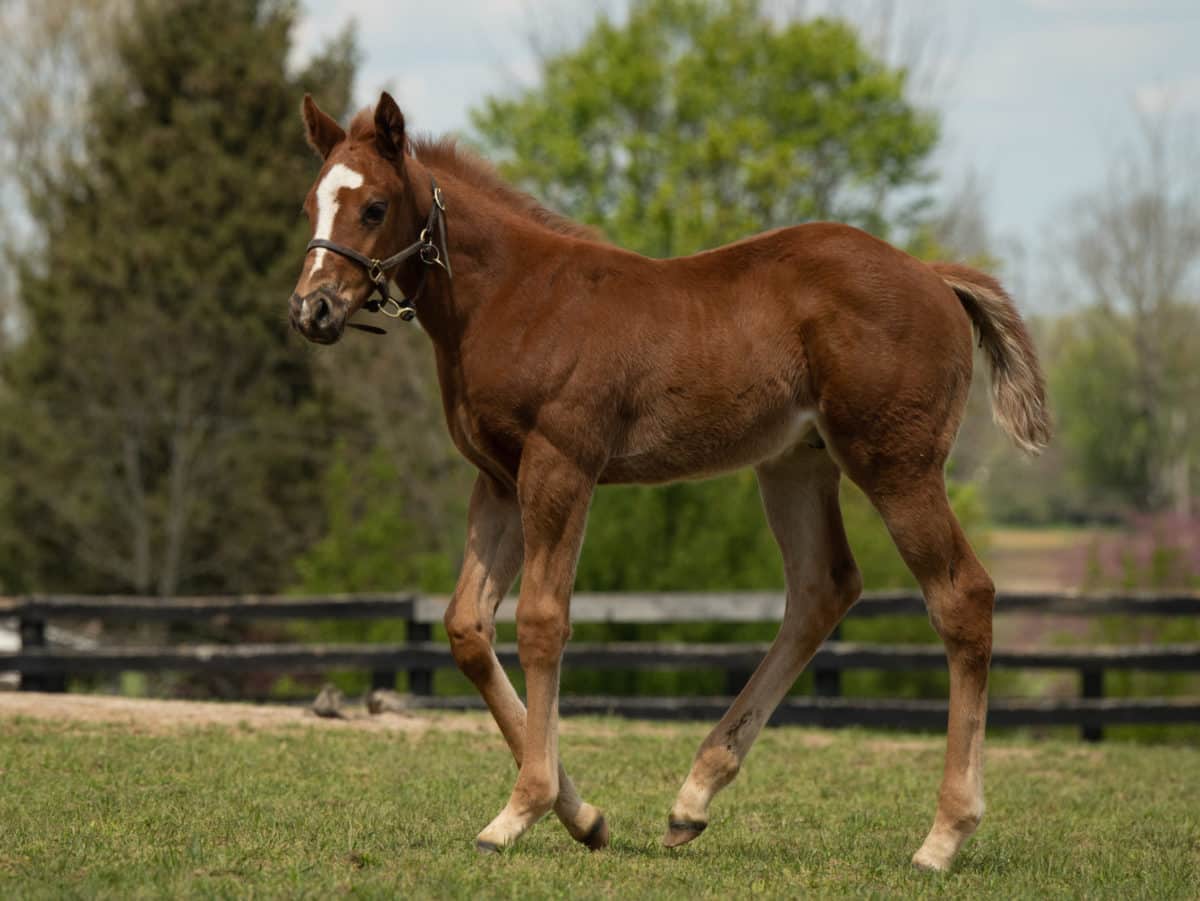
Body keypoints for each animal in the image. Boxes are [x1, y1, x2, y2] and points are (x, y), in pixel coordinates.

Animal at [285, 93, 1046, 873]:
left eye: (374, 207)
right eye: (311, 202)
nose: (313, 309)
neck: (513, 296)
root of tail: (934, 275)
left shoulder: (561, 463)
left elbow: (543, 622)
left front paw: (521, 810)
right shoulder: (497, 478)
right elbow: (468, 625)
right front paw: (583, 815)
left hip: (897, 462)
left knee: (961, 597)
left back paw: (943, 835)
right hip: (796, 462)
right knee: (822, 588)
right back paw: (693, 799)